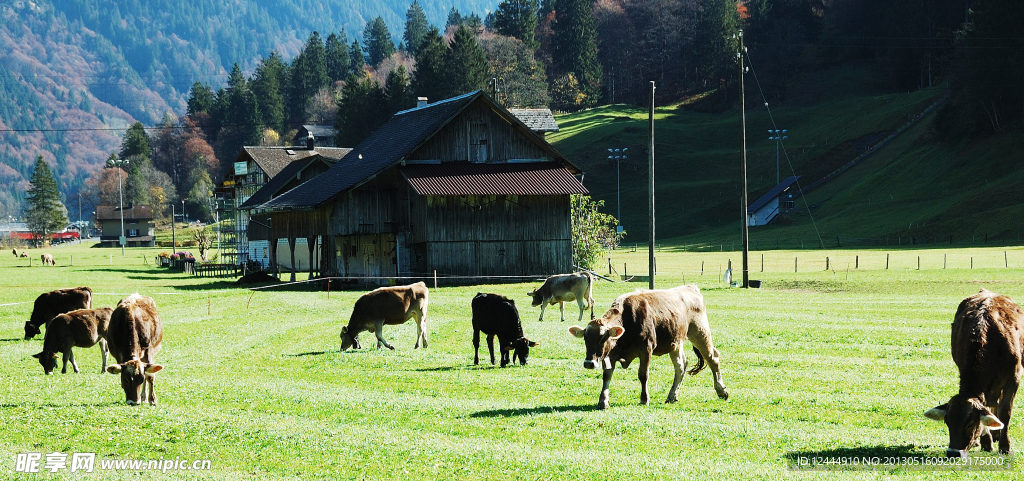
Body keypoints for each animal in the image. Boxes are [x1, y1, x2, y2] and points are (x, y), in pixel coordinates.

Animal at [569, 286, 729, 409]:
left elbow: (643, 375)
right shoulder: (609, 355)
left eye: (603, 338)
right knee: (681, 366)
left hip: (700, 333)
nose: (589, 363)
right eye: (585, 338)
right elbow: (606, 376)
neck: (628, 319)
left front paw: (644, 399)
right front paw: (603, 400)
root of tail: (691, 288)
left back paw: (721, 390)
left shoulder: (646, 350)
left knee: (713, 358)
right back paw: (672, 395)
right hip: (676, 342)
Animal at [925, 288, 1019, 458]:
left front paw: (1005, 447)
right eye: (947, 422)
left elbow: (1005, 412)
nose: (953, 453)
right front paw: (986, 442)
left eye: (969, 424)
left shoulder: (1013, 378)